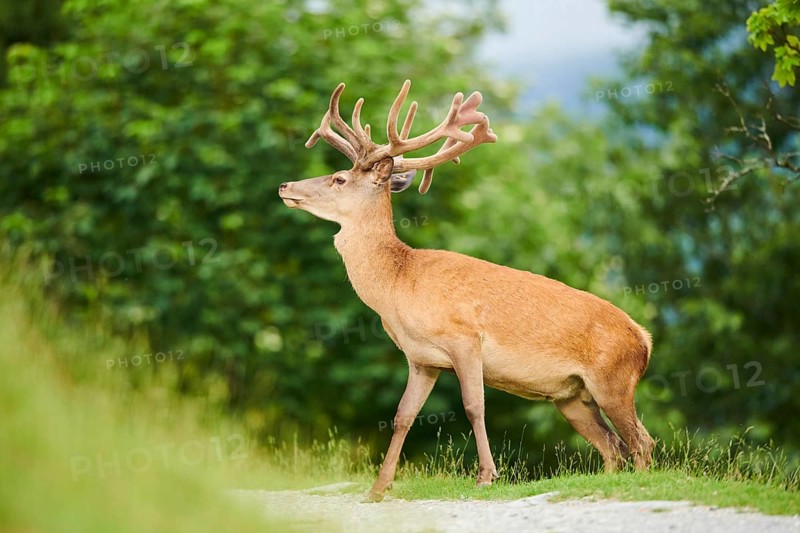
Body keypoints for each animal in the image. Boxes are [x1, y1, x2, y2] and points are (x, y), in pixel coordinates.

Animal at [279, 80, 655, 503]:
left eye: (339, 178)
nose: (285, 185)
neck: (398, 285)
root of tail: (644, 339)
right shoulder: (421, 358)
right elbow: (403, 415)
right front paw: (378, 488)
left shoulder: (465, 338)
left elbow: (475, 405)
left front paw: (486, 476)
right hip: (571, 396)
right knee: (614, 447)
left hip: (613, 379)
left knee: (642, 441)